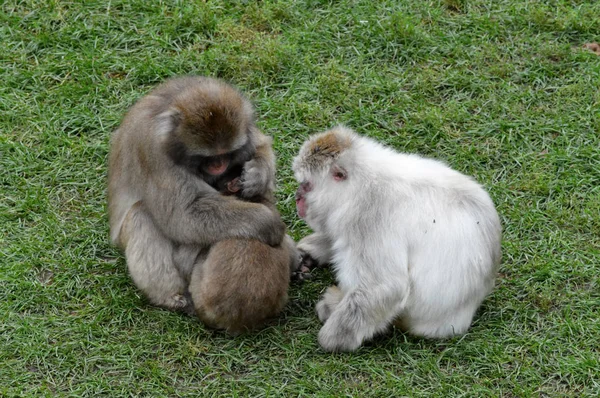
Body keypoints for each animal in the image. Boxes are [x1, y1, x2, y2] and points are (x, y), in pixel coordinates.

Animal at [108, 74, 300, 330]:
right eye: (208, 157)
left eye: (224, 154)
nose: (218, 166)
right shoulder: (151, 149)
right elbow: (183, 214)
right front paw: (268, 223)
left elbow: (260, 144)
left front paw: (257, 174)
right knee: (141, 214)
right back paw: (170, 297)